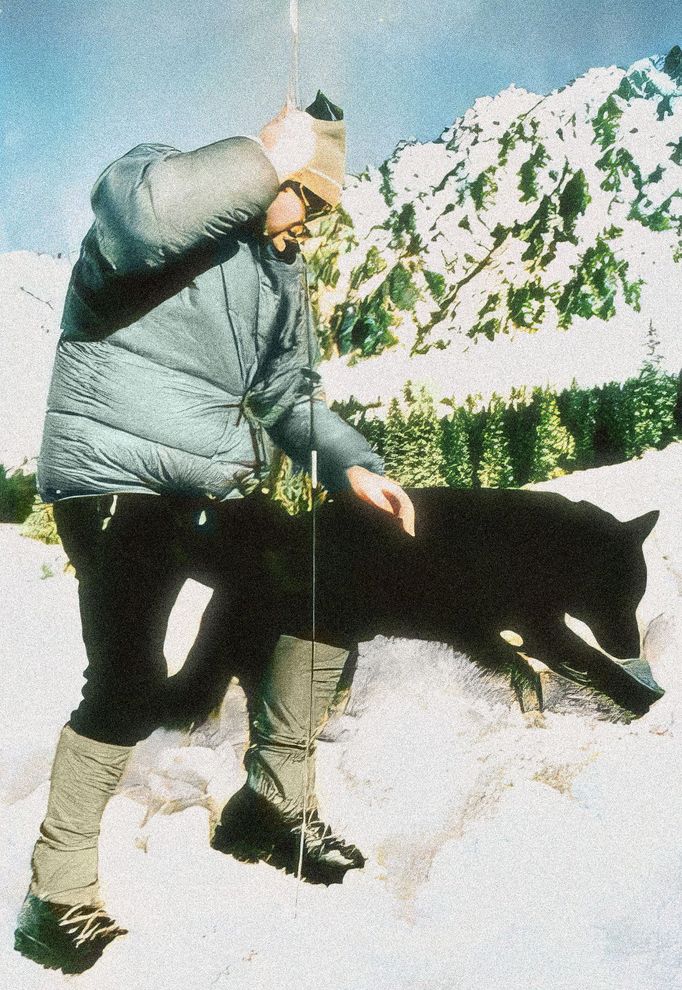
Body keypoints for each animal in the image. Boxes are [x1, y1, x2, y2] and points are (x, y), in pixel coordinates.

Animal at [162, 490, 660, 728]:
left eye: (636, 597)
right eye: (620, 596)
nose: (633, 649)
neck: (532, 548)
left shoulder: (535, 628)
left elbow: (583, 664)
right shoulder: (480, 630)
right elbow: (549, 668)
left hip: (341, 648)